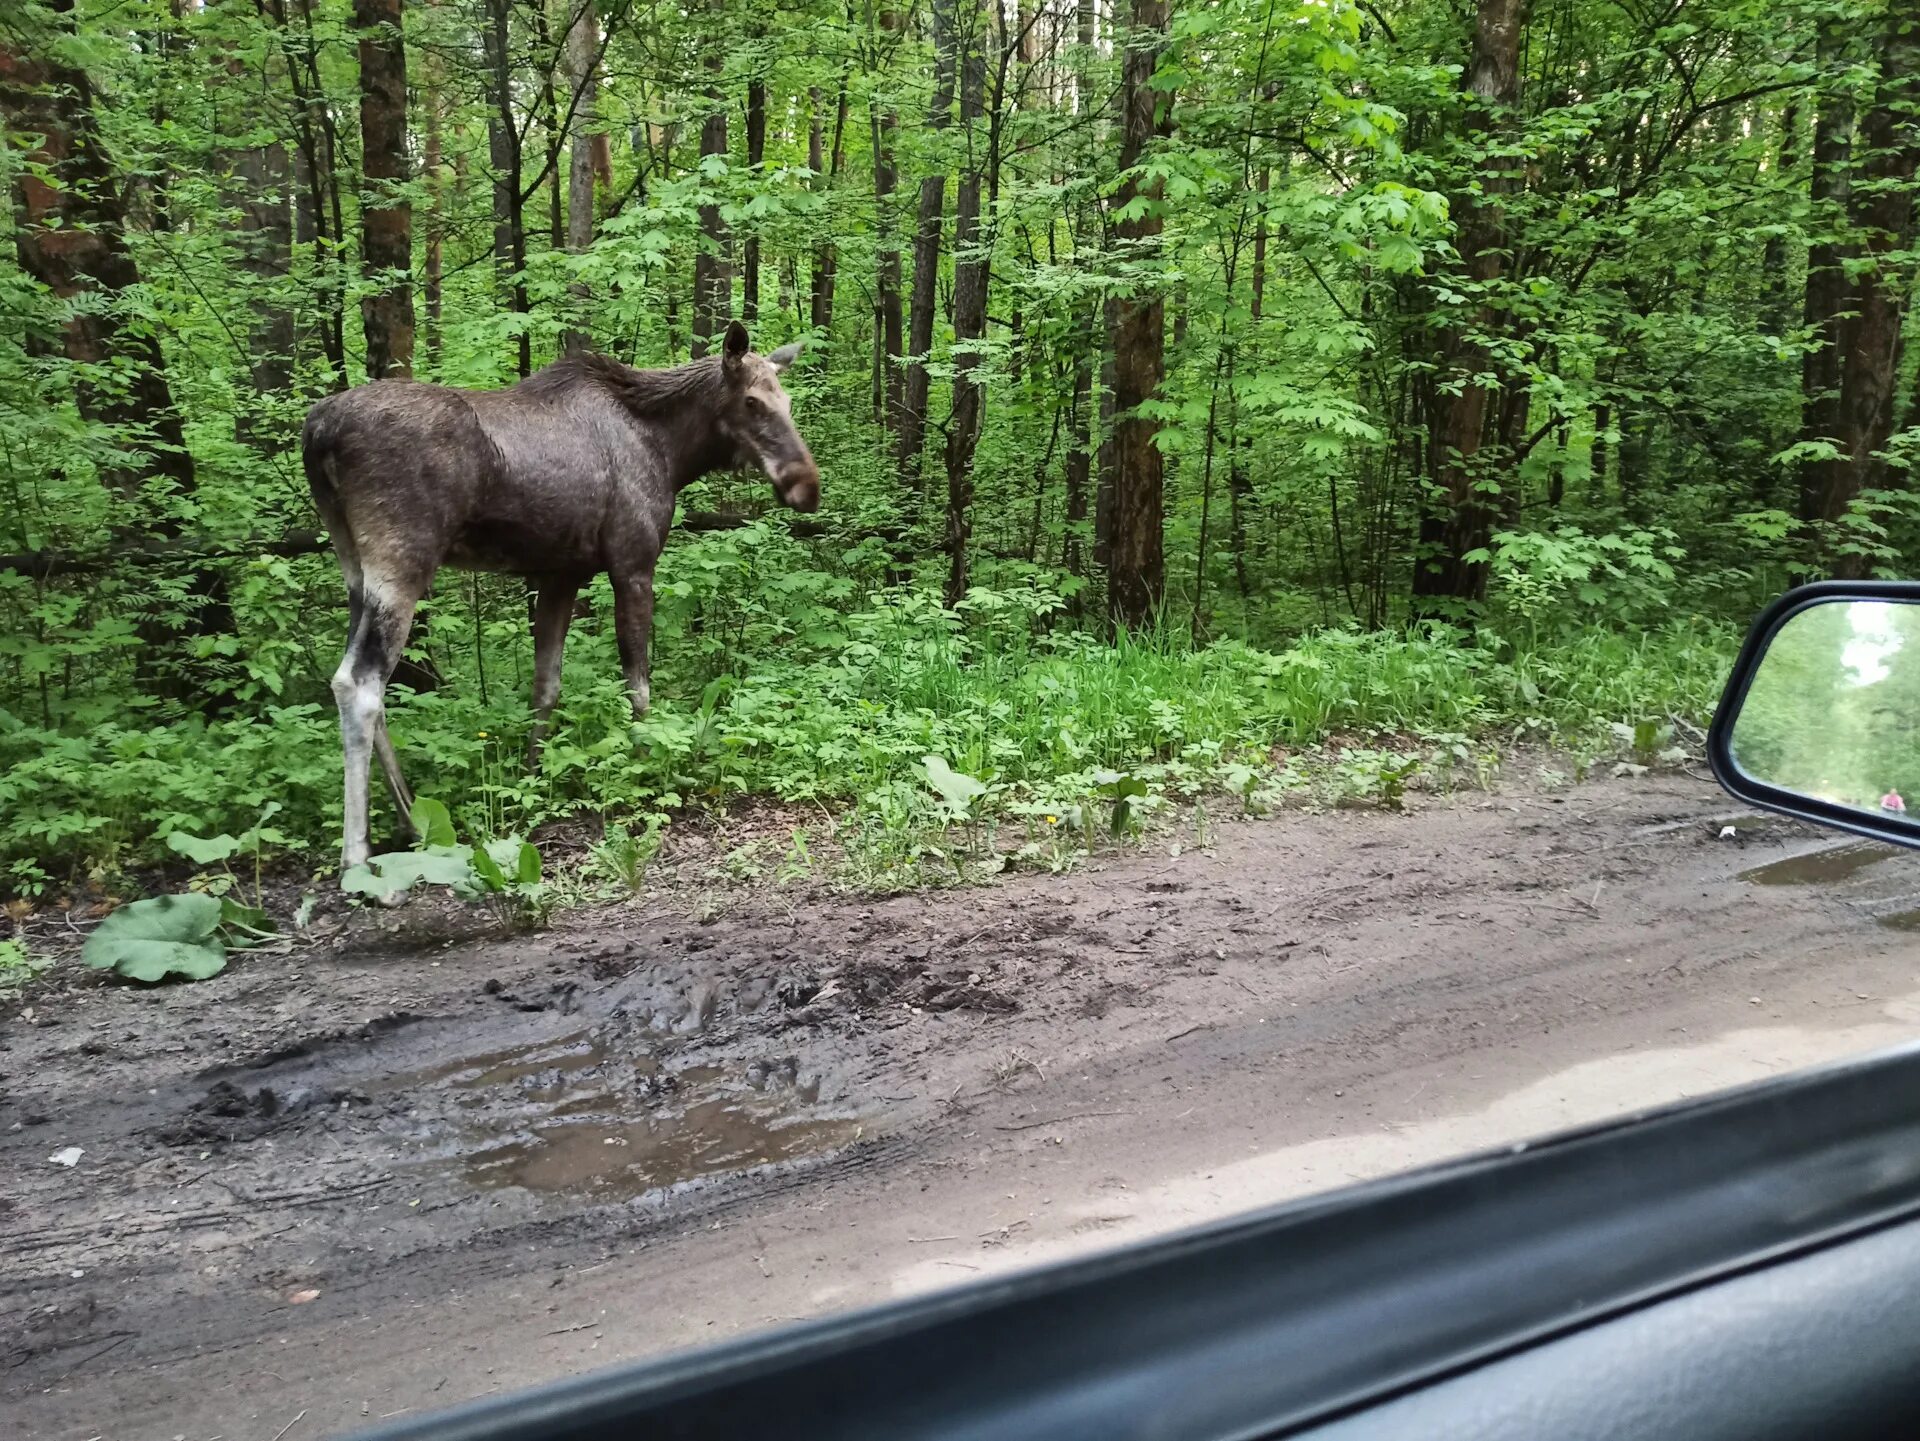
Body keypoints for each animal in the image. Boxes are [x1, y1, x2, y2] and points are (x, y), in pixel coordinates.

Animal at [303, 324, 814, 867]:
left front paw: (532, 782)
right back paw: (356, 855)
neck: (671, 451)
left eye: (787, 401)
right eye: (753, 401)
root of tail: (316, 432)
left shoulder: (559, 574)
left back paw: (412, 820)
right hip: (401, 563)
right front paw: (647, 769)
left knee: (365, 684)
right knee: (359, 683)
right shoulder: (633, 565)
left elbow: (545, 686)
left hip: (355, 568)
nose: (807, 486)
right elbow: (638, 686)